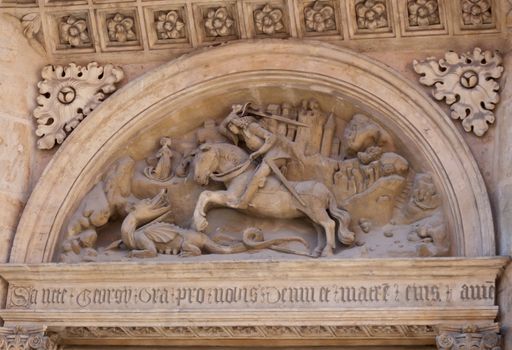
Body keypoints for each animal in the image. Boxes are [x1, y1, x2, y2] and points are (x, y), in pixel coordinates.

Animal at [190, 142, 354, 258]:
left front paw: (200, 223)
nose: (198, 179)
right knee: (320, 229)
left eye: (202, 158)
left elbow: (205, 194)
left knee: (329, 224)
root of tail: (327, 191)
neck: (240, 173)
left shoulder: (231, 198)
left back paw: (327, 251)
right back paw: (317, 252)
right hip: (309, 216)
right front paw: (198, 222)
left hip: (317, 212)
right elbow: (206, 197)